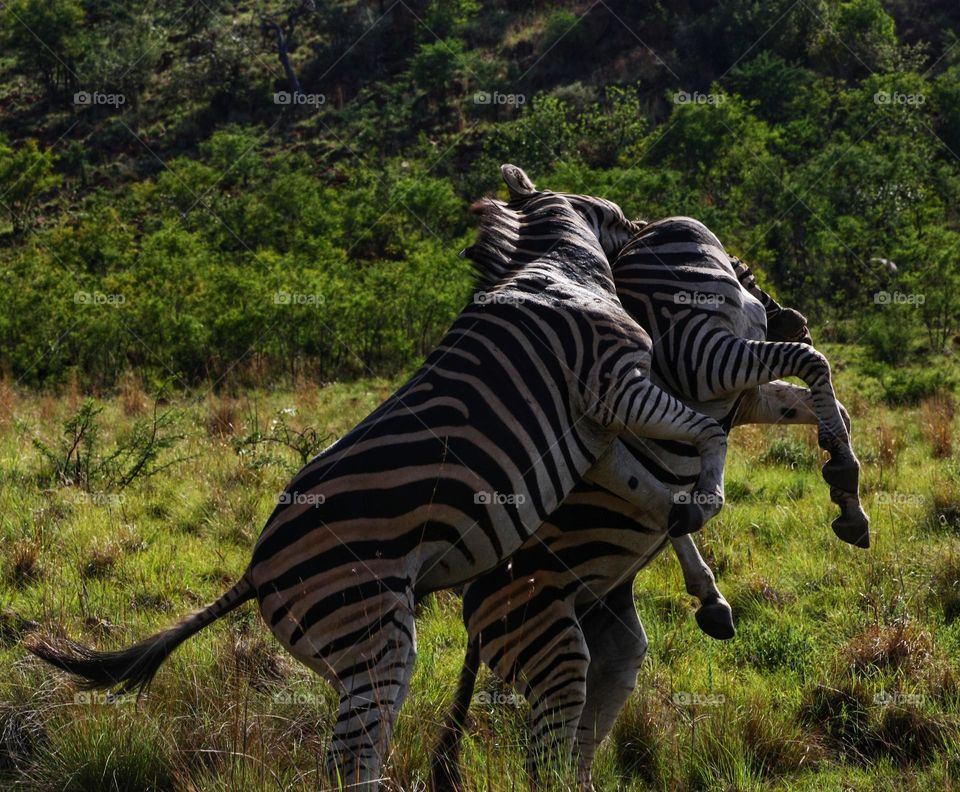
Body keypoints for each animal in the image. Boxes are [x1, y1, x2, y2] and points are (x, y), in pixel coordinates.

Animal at [24, 164, 728, 788]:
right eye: (613, 210)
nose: (651, 226)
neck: (560, 267)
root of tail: (254, 570)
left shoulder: (595, 430)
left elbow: (648, 489)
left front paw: (691, 529)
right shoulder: (615, 384)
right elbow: (706, 432)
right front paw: (711, 493)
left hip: (352, 651)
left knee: (355, 752)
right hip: (374, 634)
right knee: (349, 762)